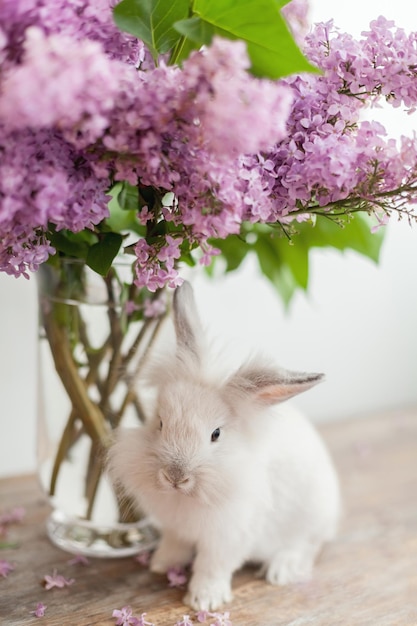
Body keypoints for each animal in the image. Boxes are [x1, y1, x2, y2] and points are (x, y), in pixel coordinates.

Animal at [108, 282, 342, 608]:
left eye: (216, 434)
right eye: (160, 422)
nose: (174, 477)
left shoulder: (228, 538)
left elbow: (212, 567)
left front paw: (204, 600)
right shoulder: (176, 529)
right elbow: (175, 546)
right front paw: (161, 565)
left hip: (311, 515)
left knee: (308, 546)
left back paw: (280, 570)